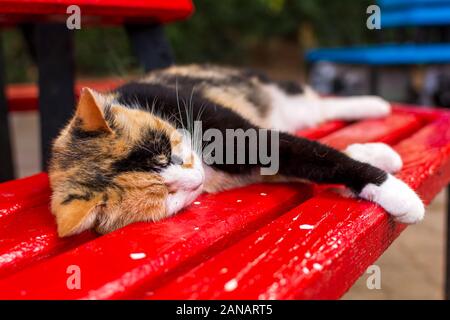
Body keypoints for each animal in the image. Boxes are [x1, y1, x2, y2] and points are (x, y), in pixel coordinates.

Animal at [49, 64, 426, 238]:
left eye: (166, 150)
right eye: (165, 196)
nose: (196, 179)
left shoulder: (241, 132)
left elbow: (312, 153)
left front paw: (397, 193)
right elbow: (307, 159)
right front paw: (377, 161)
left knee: (316, 107)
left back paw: (375, 105)